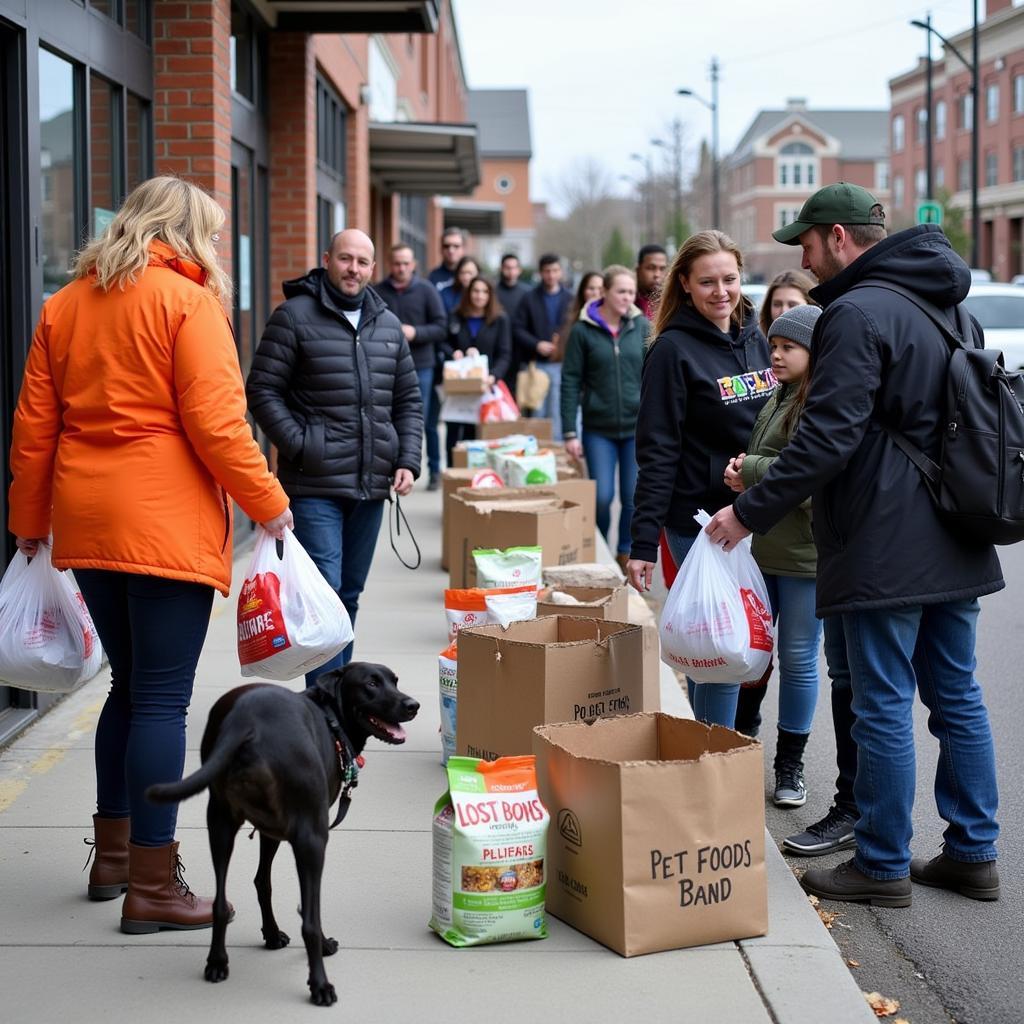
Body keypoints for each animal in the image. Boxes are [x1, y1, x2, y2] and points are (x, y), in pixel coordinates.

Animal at [146, 663, 417, 1007]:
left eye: (395, 681)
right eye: (371, 683)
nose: (413, 705)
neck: (331, 717)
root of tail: (246, 717)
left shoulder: (269, 830)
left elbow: (263, 882)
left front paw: (271, 934)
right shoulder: (309, 833)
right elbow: (308, 908)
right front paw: (323, 947)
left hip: (219, 823)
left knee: (221, 904)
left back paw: (218, 962)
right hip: (312, 840)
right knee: (310, 923)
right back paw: (320, 984)